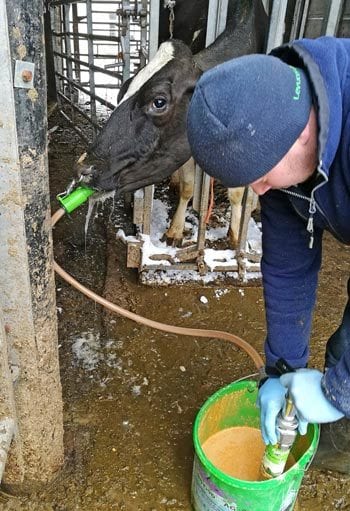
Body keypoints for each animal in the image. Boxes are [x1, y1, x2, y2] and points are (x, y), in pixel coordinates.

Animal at [76, 0, 268, 248]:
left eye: (159, 102)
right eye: (123, 92)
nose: (83, 169)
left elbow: (236, 192)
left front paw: (236, 236)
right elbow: (188, 186)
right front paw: (175, 230)